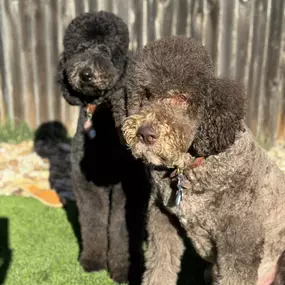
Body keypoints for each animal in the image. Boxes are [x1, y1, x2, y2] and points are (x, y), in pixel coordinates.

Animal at [55, 11, 149, 282]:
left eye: (106, 51)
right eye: (80, 49)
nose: (86, 73)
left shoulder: (126, 189)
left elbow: (120, 230)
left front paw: (123, 270)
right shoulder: (86, 187)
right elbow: (93, 222)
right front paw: (92, 261)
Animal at [121, 35, 284, 284]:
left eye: (181, 97)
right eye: (147, 94)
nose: (145, 133)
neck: (191, 169)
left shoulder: (239, 242)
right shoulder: (162, 220)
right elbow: (160, 267)